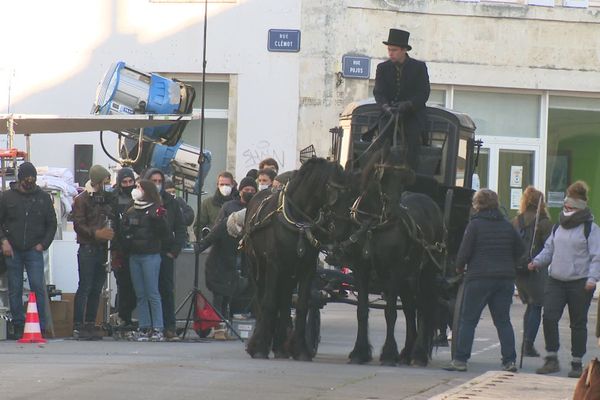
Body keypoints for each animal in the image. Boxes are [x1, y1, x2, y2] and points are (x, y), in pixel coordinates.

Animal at [241, 156, 350, 360]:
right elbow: (268, 303)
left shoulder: (306, 268)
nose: (342, 228)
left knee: (284, 303)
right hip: (257, 267)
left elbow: (300, 306)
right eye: (332, 189)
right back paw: (259, 342)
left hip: (288, 273)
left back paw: (280, 347)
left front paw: (301, 349)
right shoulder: (274, 264)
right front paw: (260, 348)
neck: (298, 221)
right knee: (261, 300)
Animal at [342, 147, 446, 366]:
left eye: (404, 177)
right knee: (410, 308)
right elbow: (362, 311)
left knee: (424, 306)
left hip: (426, 271)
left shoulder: (394, 270)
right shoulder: (361, 269)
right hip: (408, 277)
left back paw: (418, 354)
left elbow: (390, 312)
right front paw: (359, 352)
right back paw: (407, 352)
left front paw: (389, 353)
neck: (373, 226)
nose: (393, 212)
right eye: (384, 175)